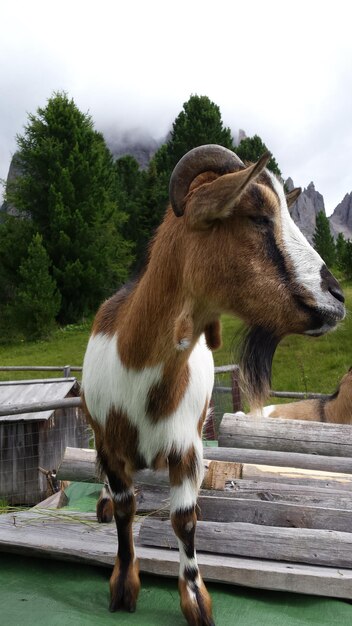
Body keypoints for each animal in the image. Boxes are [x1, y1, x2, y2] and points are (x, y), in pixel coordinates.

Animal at [81, 145, 346, 624]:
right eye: (257, 216)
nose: (337, 298)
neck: (137, 366)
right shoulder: (109, 443)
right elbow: (127, 510)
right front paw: (123, 587)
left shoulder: (188, 447)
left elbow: (185, 519)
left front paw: (196, 601)